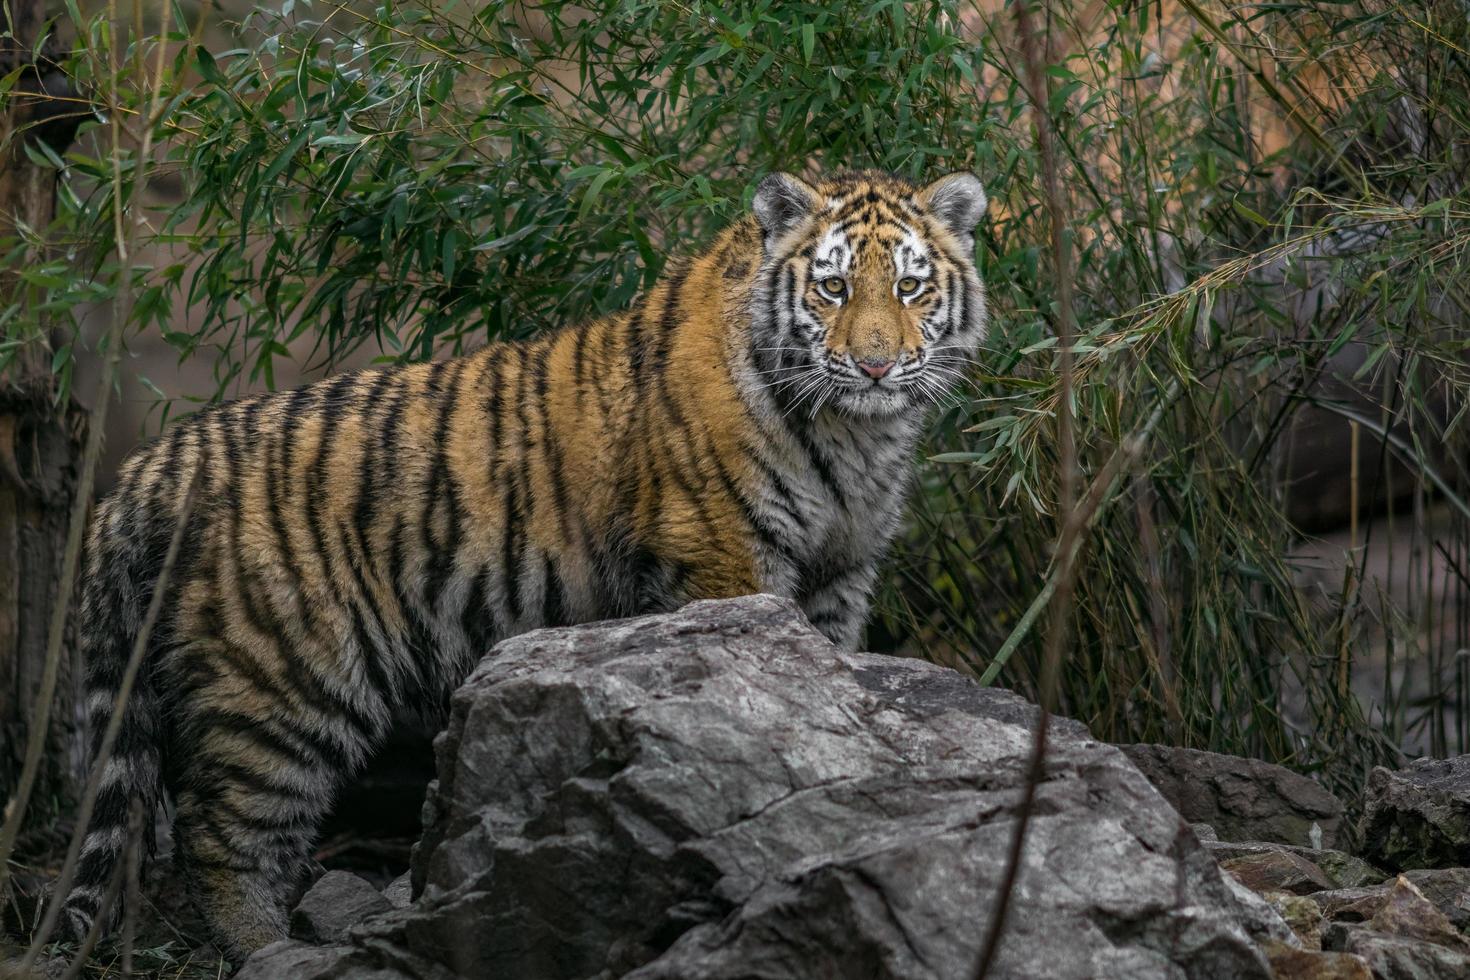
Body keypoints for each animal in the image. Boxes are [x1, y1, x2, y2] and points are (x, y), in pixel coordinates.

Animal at [60, 168, 987, 957]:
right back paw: (270, 947)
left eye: (909, 287)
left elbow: (829, 666)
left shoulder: (841, 571)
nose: (875, 364)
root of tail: (153, 463)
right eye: (833, 287)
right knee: (221, 833)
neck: (856, 434)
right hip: (284, 680)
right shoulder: (725, 552)